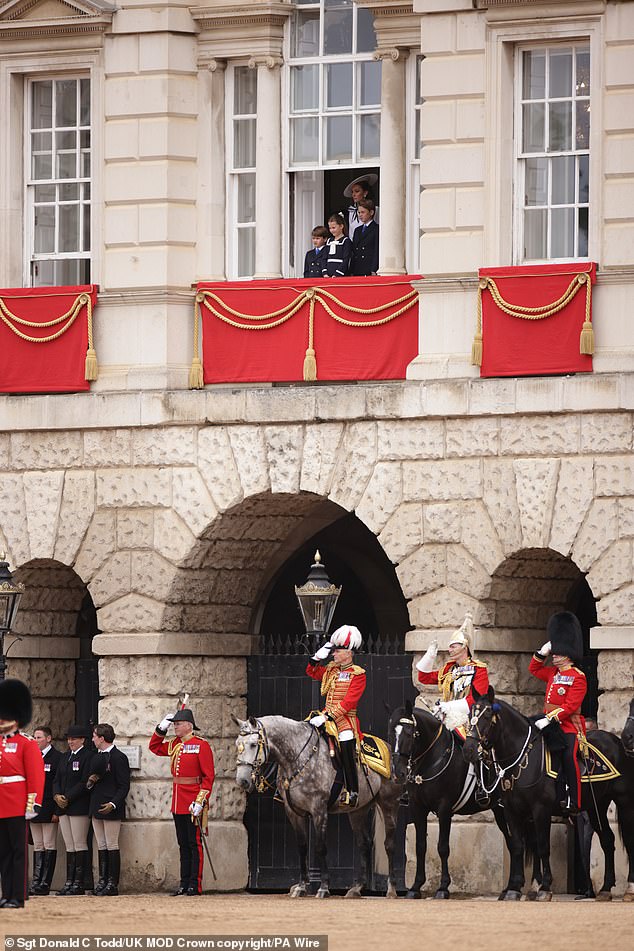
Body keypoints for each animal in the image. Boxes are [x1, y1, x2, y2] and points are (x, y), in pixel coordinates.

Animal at [232, 712, 400, 900]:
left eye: (253, 744)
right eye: (237, 744)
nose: (242, 781)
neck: (297, 757)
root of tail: (389, 748)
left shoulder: (319, 810)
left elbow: (320, 847)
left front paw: (323, 887)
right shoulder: (294, 812)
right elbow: (302, 847)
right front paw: (301, 886)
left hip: (389, 804)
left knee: (389, 844)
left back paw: (391, 889)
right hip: (358, 811)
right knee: (364, 844)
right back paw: (356, 888)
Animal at [386, 700, 512, 900]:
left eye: (409, 732)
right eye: (391, 732)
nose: (398, 774)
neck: (431, 758)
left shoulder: (444, 809)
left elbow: (443, 847)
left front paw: (443, 887)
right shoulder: (417, 808)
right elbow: (420, 846)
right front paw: (415, 887)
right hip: (500, 811)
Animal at [462, 692, 628, 900]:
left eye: (486, 716)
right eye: (469, 715)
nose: (468, 750)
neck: (521, 758)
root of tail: (614, 739)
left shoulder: (540, 810)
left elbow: (542, 846)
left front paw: (544, 887)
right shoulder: (511, 811)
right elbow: (517, 846)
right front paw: (514, 888)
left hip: (622, 799)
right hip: (596, 805)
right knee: (607, 839)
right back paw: (605, 888)